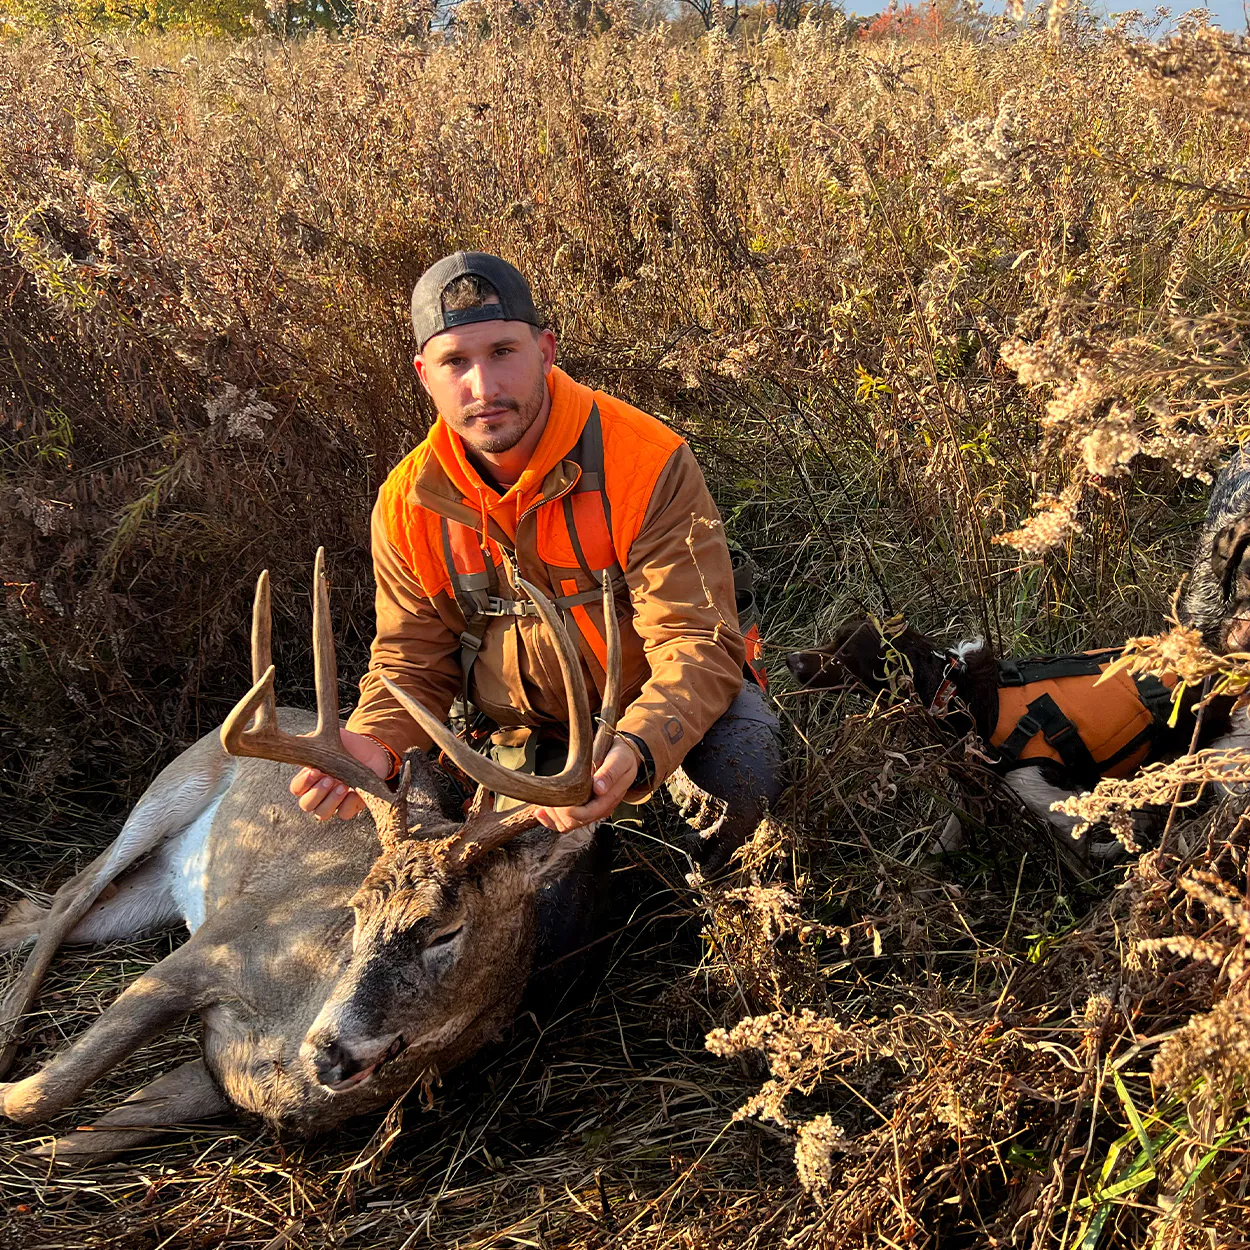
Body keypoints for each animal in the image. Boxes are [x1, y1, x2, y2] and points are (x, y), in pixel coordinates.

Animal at [0, 548, 621, 1162]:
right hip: (171, 789)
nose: (326, 1053)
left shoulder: (215, 1076)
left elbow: (70, 1143)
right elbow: (32, 1099)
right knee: (71, 893)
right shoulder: (211, 947)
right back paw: (8, 1036)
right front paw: (13, 1088)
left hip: (156, 892)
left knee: (46, 915)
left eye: (447, 930)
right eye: (356, 911)